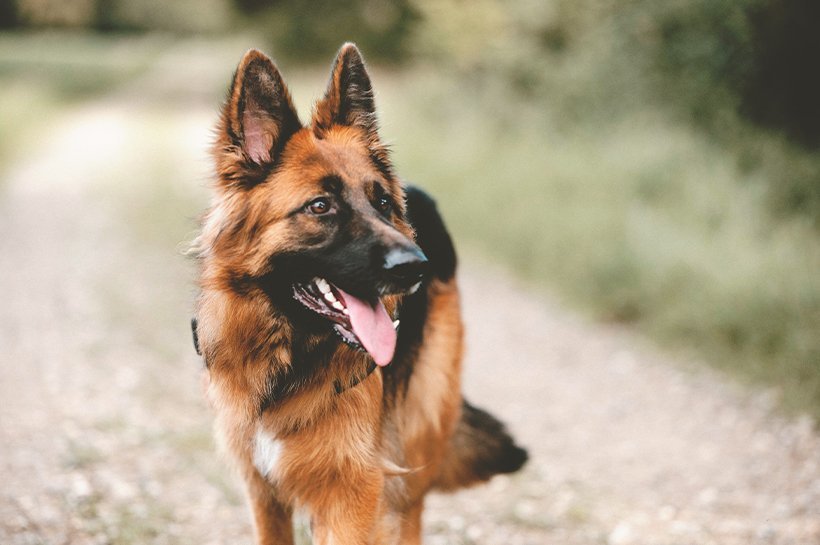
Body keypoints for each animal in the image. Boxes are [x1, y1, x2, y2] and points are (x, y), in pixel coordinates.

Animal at [191, 43, 524, 544]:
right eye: (320, 206)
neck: (289, 364)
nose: (416, 266)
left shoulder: (351, 497)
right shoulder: (263, 492)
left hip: (415, 435)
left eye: (382, 202)